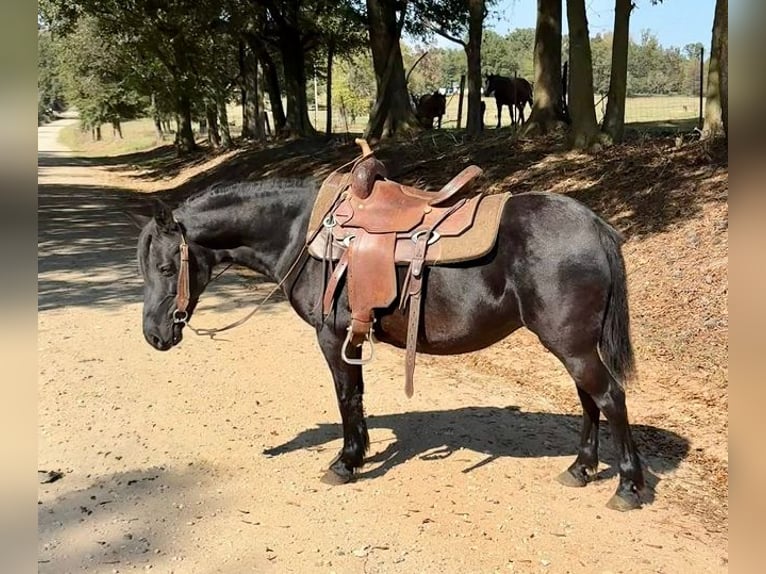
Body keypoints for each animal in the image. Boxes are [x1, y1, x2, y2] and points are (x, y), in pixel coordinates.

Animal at [130, 176, 647, 511]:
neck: (303, 233)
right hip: (571, 345)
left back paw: (627, 486)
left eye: (164, 267)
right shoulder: (351, 339)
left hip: (572, 344)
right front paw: (358, 453)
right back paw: (581, 469)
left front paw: (345, 462)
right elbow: (356, 397)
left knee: (610, 398)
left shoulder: (332, 337)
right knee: (589, 401)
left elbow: (346, 396)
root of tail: (595, 225)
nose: (154, 336)